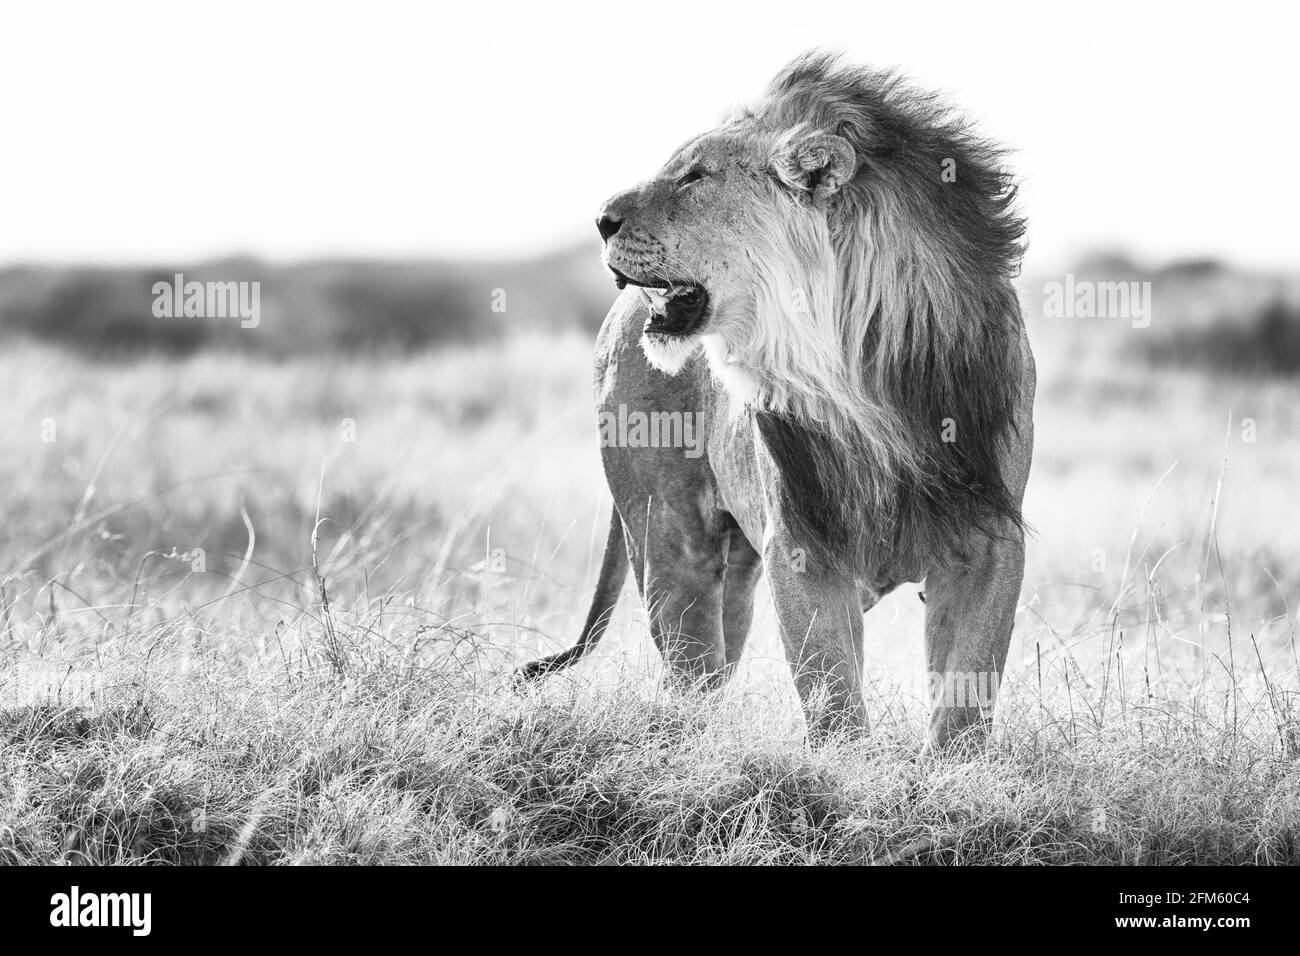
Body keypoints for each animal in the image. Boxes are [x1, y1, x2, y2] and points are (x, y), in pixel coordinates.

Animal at [518, 51, 1035, 748]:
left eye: (695, 176)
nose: (599, 221)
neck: (861, 377)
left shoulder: (989, 539)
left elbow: (967, 687)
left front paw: (955, 773)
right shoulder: (802, 541)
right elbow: (831, 687)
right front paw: (846, 770)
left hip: (736, 568)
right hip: (670, 538)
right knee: (689, 666)